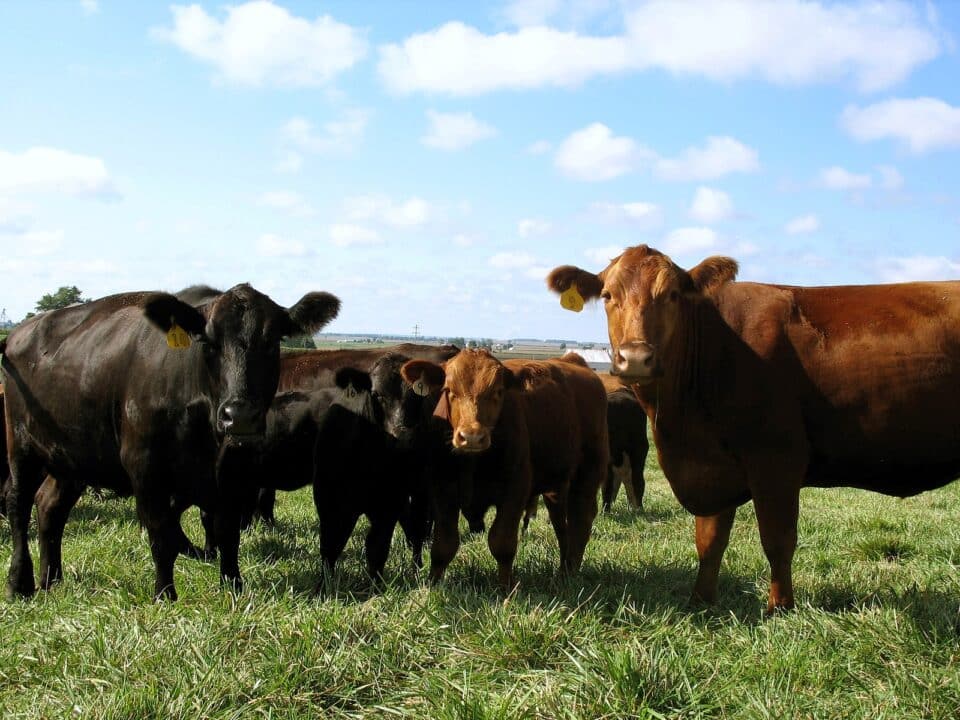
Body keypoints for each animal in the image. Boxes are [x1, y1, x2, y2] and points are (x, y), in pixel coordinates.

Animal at [0, 284, 339, 600]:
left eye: (271, 342)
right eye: (208, 343)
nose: (239, 415)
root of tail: (19, 333)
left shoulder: (235, 473)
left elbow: (227, 533)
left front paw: (233, 587)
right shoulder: (145, 468)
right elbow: (162, 534)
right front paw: (165, 595)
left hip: (73, 459)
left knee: (49, 506)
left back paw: (51, 579)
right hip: (21, 446)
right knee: (19, 505)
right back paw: (19, 582)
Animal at [400, 350, 608, 590]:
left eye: (498, 391)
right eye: (449, 390)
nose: (472, 436)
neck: (474, 463)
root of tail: (574, 361)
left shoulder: (515, 489)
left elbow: (502, 543)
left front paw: (505, 588)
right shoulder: (442, 489)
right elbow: (444, 544)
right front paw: (433, 585)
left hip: (589, 471)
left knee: (581, 519)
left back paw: (571, 572)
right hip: (556, 485)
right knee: (560, 523)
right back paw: (563, 570)